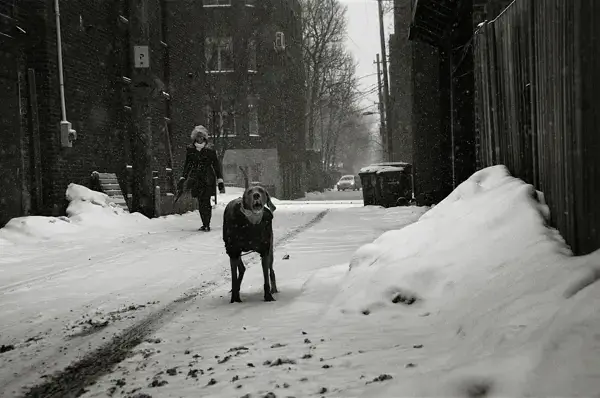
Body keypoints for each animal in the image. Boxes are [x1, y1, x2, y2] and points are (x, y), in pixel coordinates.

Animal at [221, 167, 278, 302]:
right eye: (249, 192)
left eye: (261, 190)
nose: (256, 195)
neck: (252, 221)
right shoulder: (233, 250)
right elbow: (233, 277)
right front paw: (235, 299)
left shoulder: (265, 249)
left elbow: (265, 276)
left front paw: (268, 296)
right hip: (233, 250)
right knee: (241, 268)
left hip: (270, 248)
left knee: (271, 269)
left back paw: (274, 289)